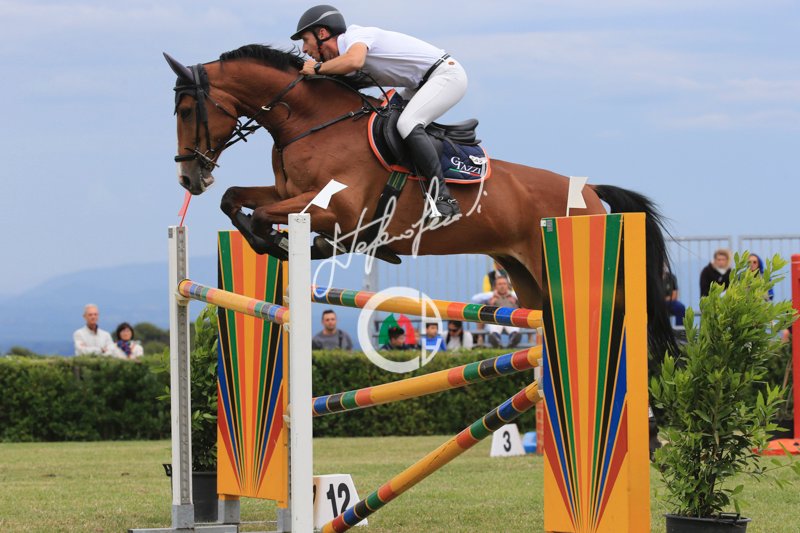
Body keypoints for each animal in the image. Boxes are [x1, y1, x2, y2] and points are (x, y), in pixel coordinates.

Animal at [165, 44, 676, 360]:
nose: (189, 177)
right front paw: (277, 242)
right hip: (531, 283)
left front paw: (282, 243)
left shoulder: (339, 211)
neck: (311, 123)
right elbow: (235, 200)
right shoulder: (291, 195)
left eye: (187, 110)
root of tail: (589, 193)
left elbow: (268, 218)